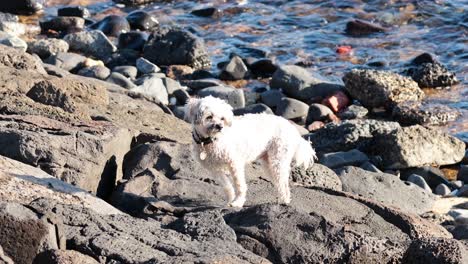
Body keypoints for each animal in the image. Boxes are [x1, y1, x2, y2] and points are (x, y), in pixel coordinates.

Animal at [185, 96, 316, 207]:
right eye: (209, 117)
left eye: (222, 118)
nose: (220, 126)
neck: (211, 140)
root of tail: (291, 127)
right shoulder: (214, 170)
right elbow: (226, 185)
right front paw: (230, 199)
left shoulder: (235, 164)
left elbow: (239, 185)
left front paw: (238, 202)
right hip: (268, 163)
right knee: (279, 182)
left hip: (278, 159)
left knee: (283, 183)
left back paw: (284, 201)